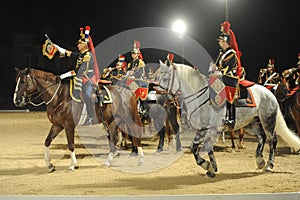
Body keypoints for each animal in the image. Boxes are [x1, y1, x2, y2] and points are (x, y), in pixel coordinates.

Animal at [14, 68, 144, 172]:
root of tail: (129, 91)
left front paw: (73, 165)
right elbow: (47, 141)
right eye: (17, 81)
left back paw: (141, 159)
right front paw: (49, 165)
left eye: (23, 81)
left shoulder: (69, 125)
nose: (16, 100)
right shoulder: (57, 125)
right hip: (112, 121)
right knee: (113, 138)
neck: (59, 96)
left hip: (128, 118)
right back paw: (108, 161)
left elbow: (71, 145)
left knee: (135, 134)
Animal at [157, 61, 300, 178]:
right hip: (249, 123)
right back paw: (260, 161)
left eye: (166, 78)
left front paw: (206, 165)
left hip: (268, 120)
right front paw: (212, 168)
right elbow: (208, 148)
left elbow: (194, 147)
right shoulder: (209, 129)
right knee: (262, 137)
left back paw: (269, 165)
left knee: (272, 140)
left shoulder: (204, 129)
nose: (160, 100)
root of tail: (269, 93)